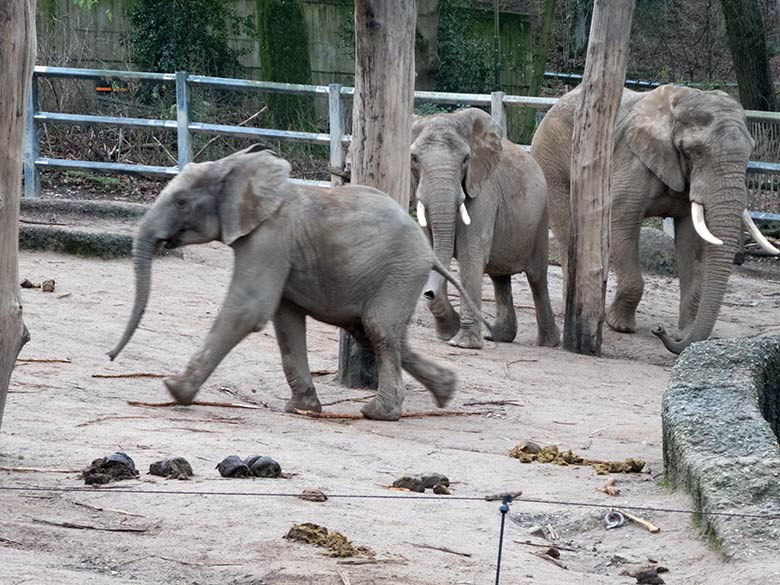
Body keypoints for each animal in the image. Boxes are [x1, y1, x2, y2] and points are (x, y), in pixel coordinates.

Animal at [107, 145, 490, 420]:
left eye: (181, 202)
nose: (110, 356)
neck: (238, 171)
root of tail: (429, 253)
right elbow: (286, 322)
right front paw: (302, 409)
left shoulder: (269, 239)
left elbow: (248, 309)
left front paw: (174, 390)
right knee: (373, 333)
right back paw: (446, 390)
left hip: (401, 271)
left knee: (379, 330)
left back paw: (380, 413)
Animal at [532, 84, 780, 354]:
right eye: (696, 151)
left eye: (750, 152)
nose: (659, 330)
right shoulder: (632, 162)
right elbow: (622, 221)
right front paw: (620, 326)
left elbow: (691, 240)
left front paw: (685, 332)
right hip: (551, 160)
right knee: (568, 228)